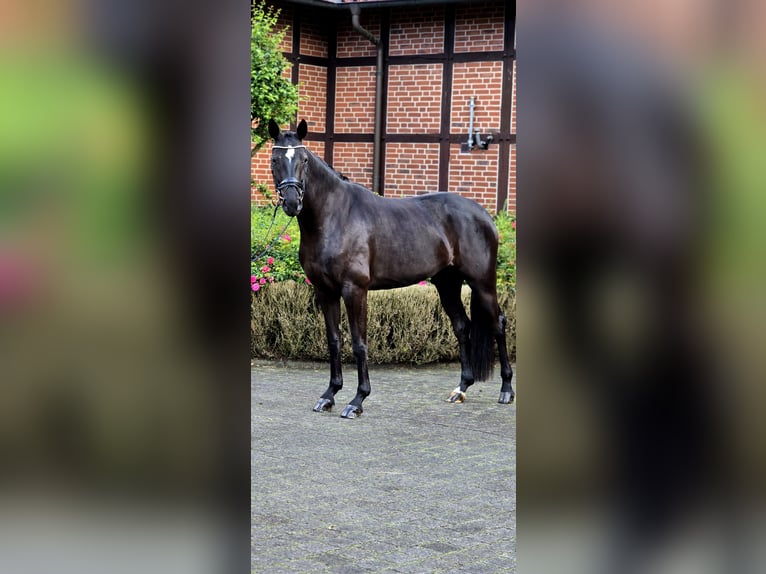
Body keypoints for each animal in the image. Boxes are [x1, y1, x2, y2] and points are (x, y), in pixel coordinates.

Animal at [268, 119, 514, 418]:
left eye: (303, 159)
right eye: (275, 159)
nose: (292, 202)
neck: (334, 216)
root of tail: (484, 215)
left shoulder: (354, 289)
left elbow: (359, 343)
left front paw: (357, 401)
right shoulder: (324, 291)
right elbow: (334, 340)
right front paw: (329, 395)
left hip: (483, 283)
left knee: (498, 324)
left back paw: (506, 390)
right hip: (447, 283)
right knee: (462, 326)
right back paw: (461, 389)